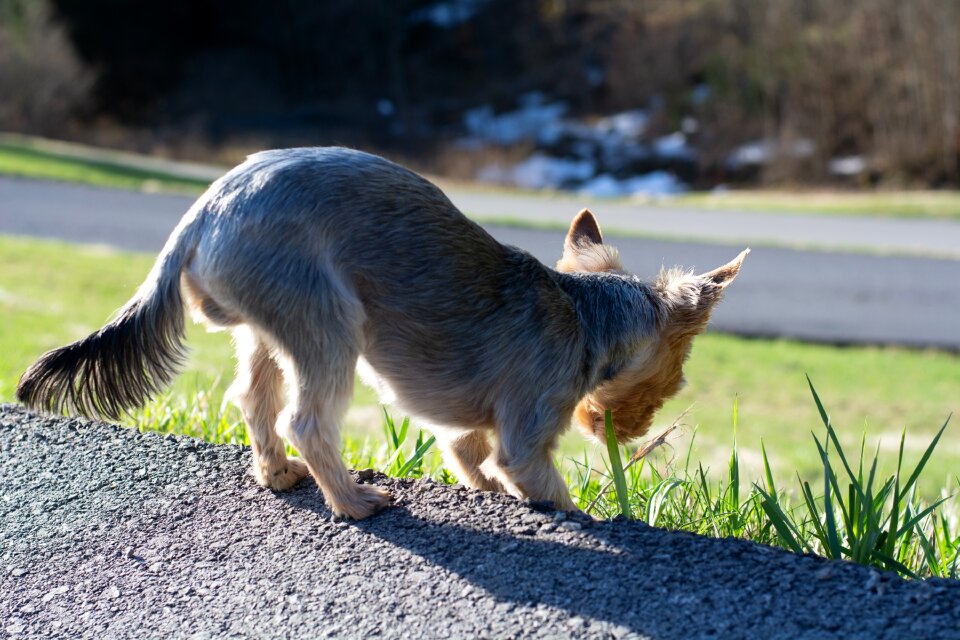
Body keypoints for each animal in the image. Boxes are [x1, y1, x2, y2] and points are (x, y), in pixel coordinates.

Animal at [16, 149, 752, 520]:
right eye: (679, 375)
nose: (634, 433)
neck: (586, 312)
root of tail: (203, 210)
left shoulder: (468, 426)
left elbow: (468, 451)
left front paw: (483, 489)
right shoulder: (530, 427)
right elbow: (536, 477)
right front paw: (576, 514)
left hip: (268, 323)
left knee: (254, 399)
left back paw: (277, 475)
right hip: (327, 318)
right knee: (307, 419)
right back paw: (353, 501)